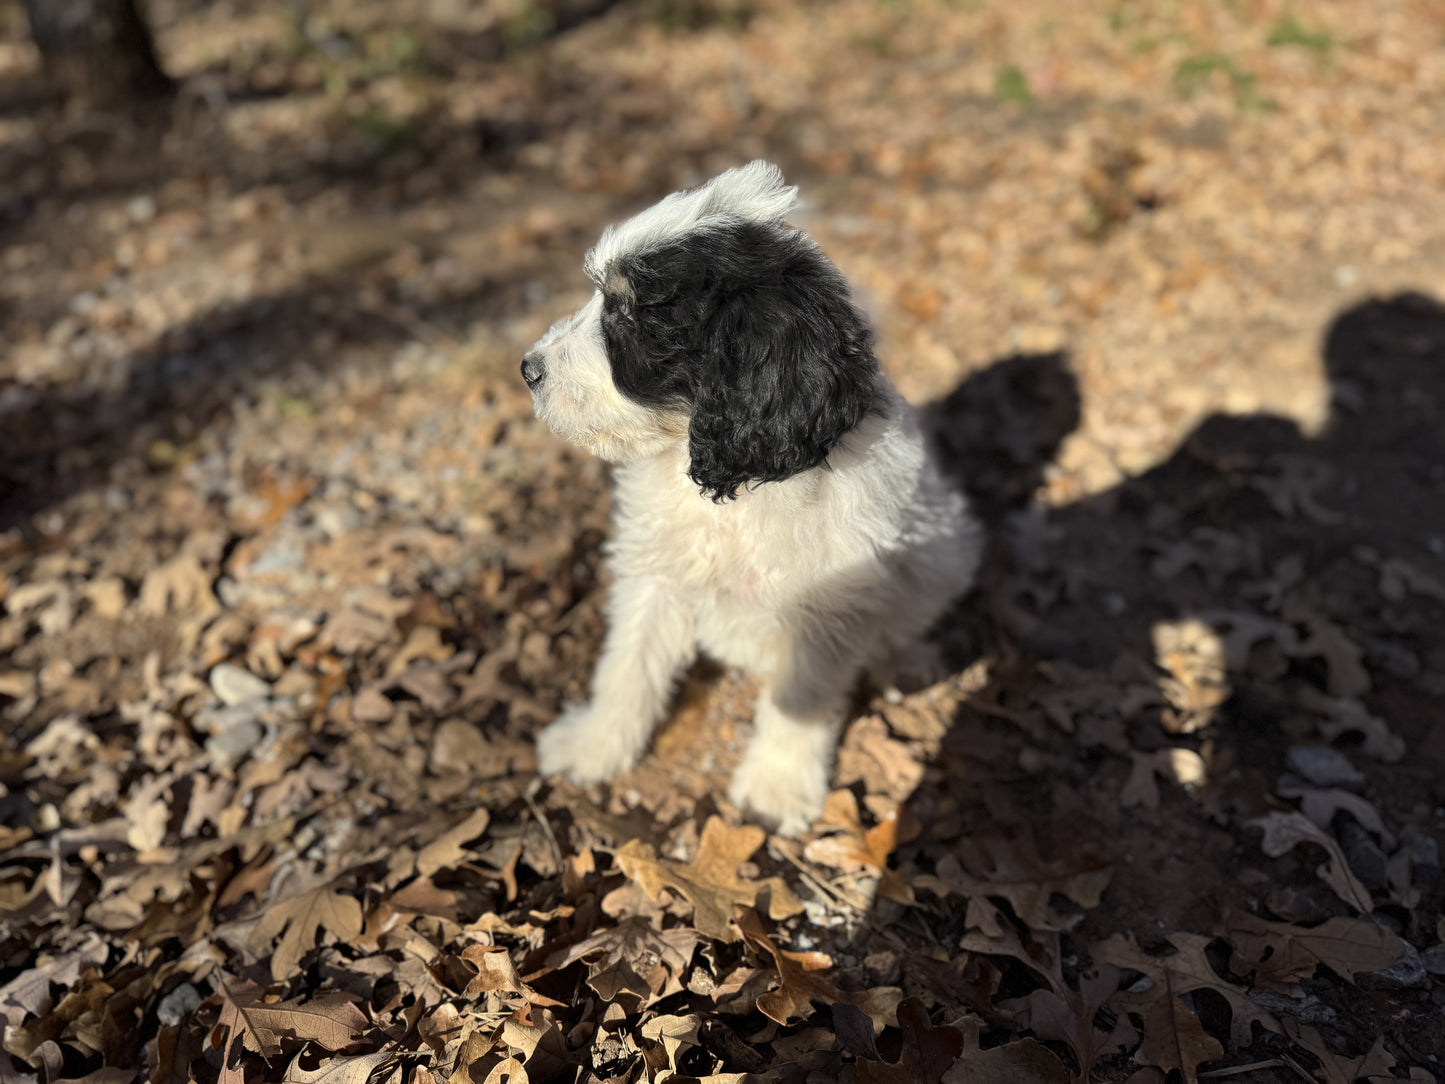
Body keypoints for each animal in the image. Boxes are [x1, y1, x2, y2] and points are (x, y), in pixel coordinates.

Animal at [523, 161, 982, 838]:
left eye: (631, 317)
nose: (527, 369)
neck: (734, 496)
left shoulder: (827, 608)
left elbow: (800, 704)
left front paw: (775, 789)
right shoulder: (656, 575)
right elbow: (627, 668)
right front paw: (593, 747)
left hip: (944, 552)